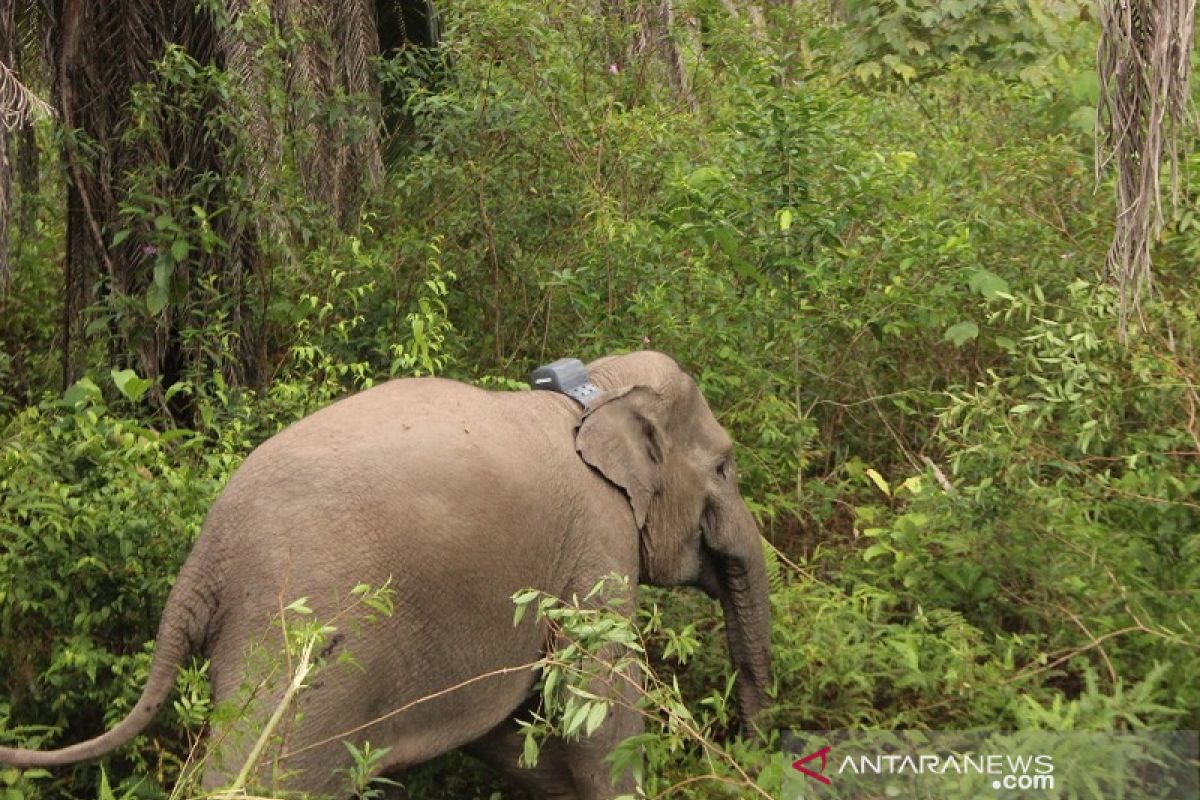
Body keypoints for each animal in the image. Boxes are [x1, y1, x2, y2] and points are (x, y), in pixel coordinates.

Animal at [0, 352, 768, 800]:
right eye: (725, 467)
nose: (756, 744)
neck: (592, 389)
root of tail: (203, 560)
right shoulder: (596, 537)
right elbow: (596, 697)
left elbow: (513, 729)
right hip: (297, 634)